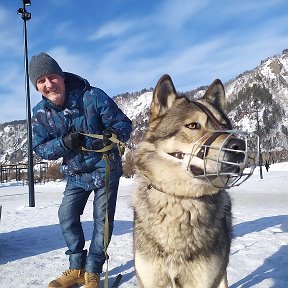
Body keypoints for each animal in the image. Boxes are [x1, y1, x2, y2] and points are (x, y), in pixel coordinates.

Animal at [132, 75, 258, 288]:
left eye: (225, 127)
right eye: (193, 126)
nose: (240, 146)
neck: (181, 199)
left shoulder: (204, 279)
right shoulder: (150, 279)